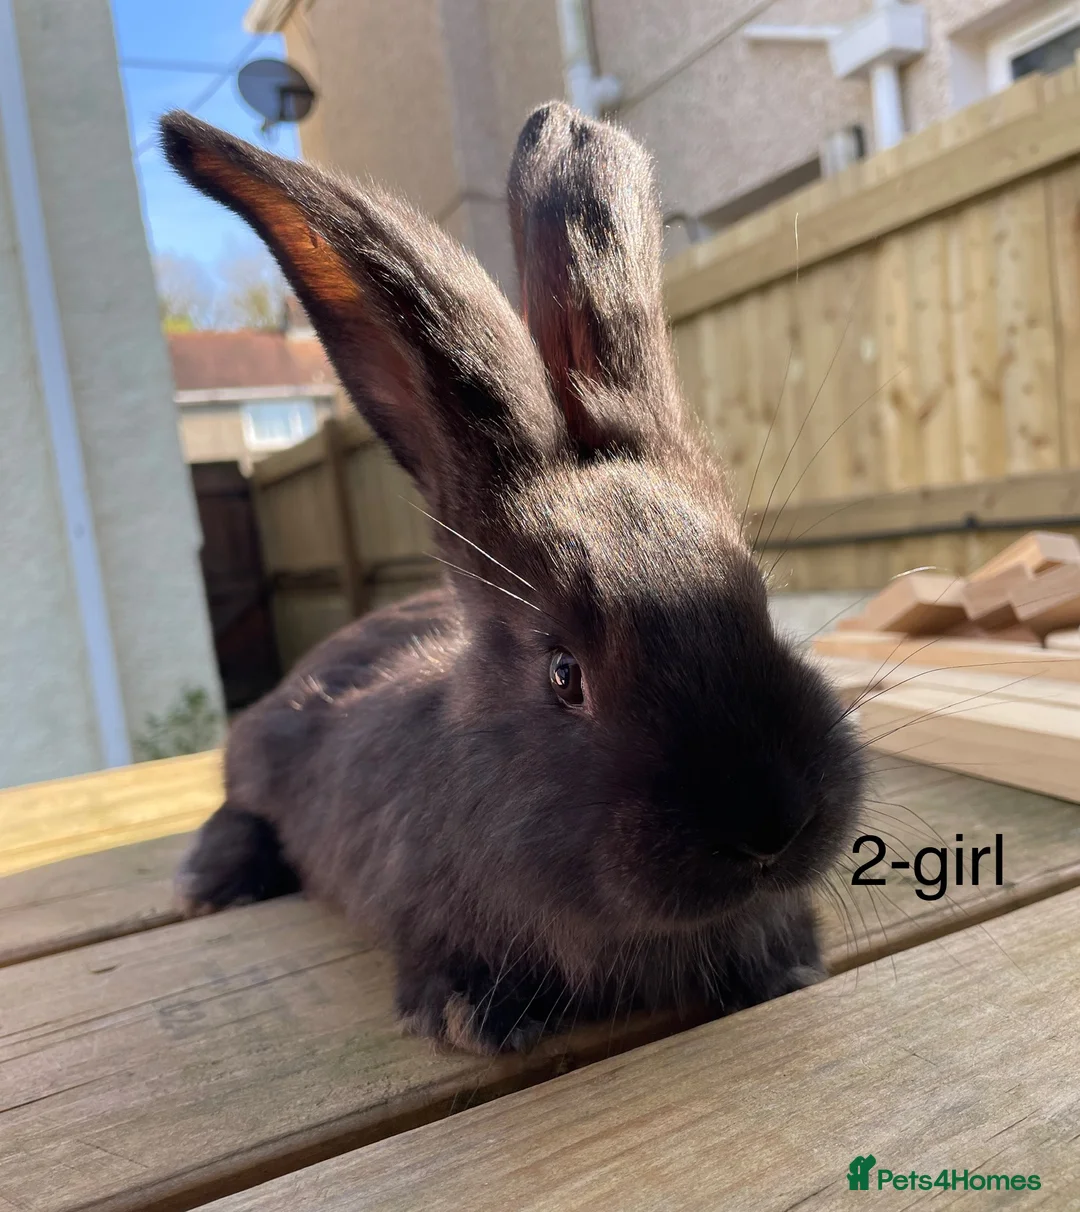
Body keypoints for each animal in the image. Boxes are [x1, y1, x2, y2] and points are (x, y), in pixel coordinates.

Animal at [160, 101, 865, 1056]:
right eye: (564, 675)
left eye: (760, 601)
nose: (769, 826)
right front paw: (477, 1018)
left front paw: (784, 968)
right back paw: (208, 880)